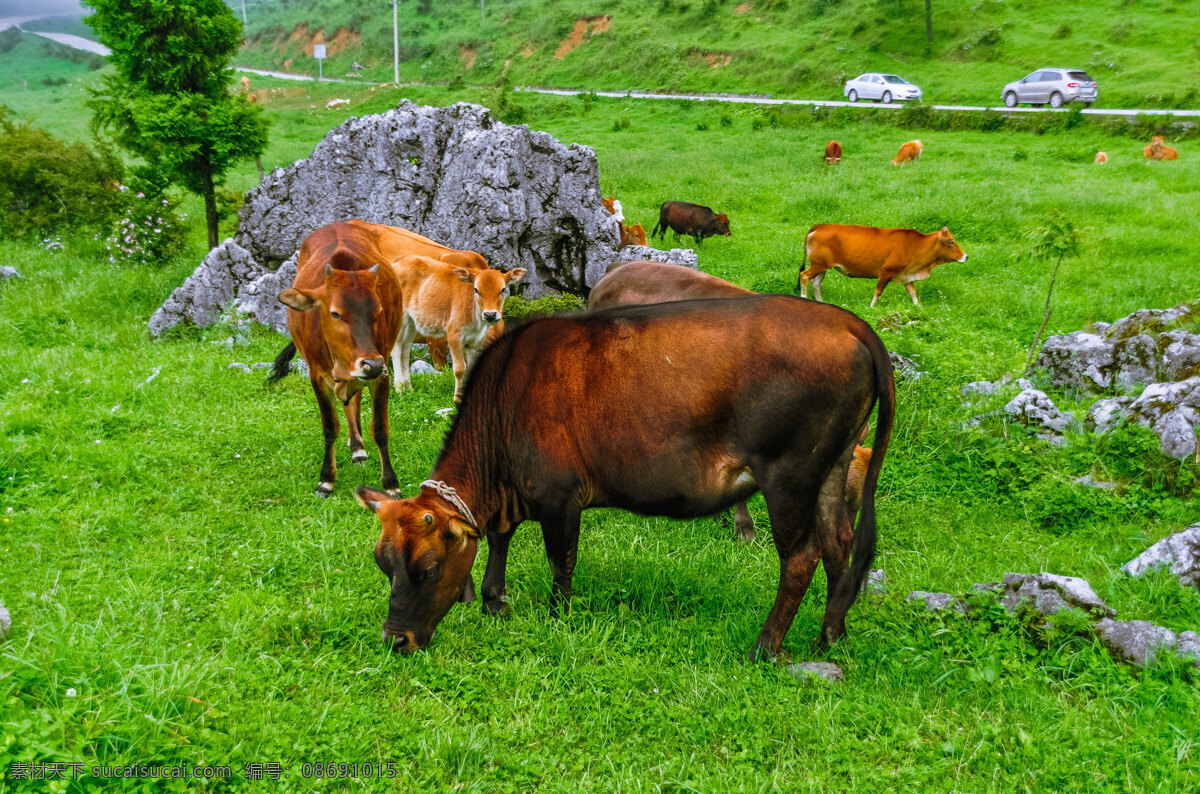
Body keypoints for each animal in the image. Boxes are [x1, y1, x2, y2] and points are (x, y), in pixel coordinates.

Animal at [271, 221, 403, 498]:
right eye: (335, 313)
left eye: (379, 311)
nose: (371, 363)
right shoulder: (317, 376)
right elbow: (330, 426)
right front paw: (326, 480)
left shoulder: (381, 372)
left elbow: (380, 428)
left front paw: (390, 482)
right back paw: (356, 447)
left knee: (354, 401)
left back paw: (359, 446)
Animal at [352, 295, 892, 662]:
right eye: (383, 565)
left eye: (428, 569)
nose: (395, 639)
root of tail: (845, 321)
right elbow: (501, 538)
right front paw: (493, 601)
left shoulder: (559, 496)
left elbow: (561, 560)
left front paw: (557, 616)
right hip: (833, 465)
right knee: (839, 542)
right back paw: (830, 636)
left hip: (790, 474)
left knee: (802, 557)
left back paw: (766, 645)